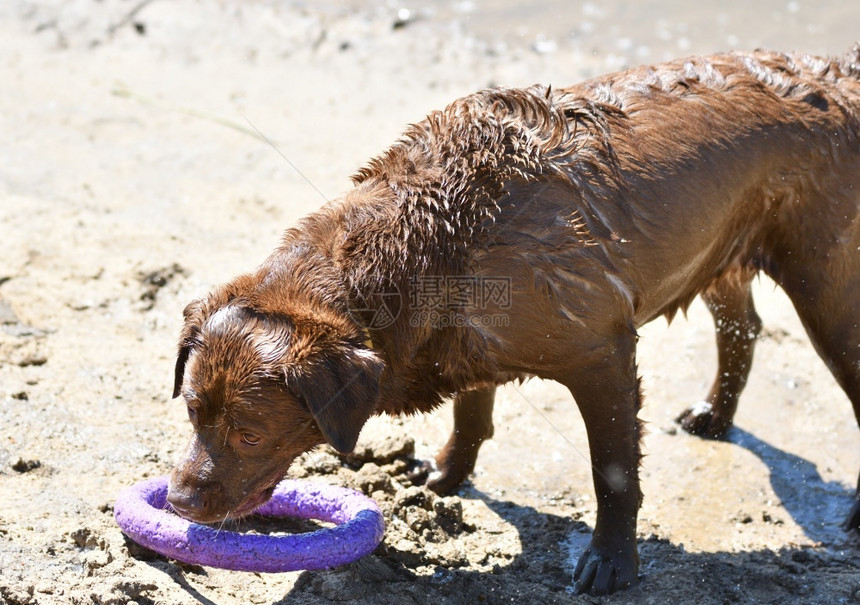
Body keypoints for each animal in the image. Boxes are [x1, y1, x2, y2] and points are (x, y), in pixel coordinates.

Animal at [168, 47, 860, 596]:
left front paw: (611, 562)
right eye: (194, 414)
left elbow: (613, 470)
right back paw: (715, 414)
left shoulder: (601, 354)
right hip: (722, 249)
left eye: (250, 435)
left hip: (827, 288)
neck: (435, 237)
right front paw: (444, 475)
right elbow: (471, 410)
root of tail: (837, 74)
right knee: (741, 323)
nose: (177, 500)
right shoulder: (459, 342)